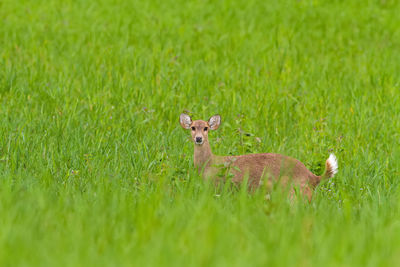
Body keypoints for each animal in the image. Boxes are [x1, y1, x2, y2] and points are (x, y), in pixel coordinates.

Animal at [179, 113, 338, 201]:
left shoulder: (218, 186)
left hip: (293, 192)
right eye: (193, 127)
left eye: (206, 128)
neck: (209, 163)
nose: (198, 138)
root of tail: (313, 177)